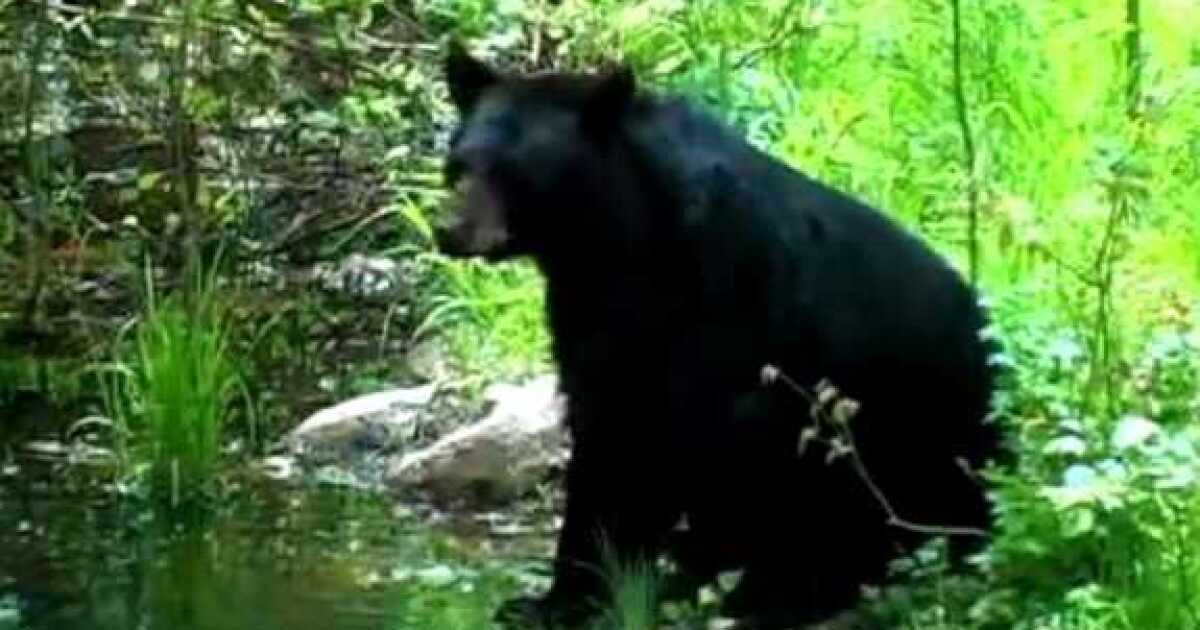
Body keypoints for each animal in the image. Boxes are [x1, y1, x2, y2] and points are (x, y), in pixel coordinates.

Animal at [434, 42, 1002, 629]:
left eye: (513, 172)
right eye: (458, 164)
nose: (447, 229)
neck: (620, 245)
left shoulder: (728, 299)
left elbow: (720, 441)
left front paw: (725, 590)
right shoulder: (592, 320)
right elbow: (605, 441)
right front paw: (559, 598)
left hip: (919, 439)